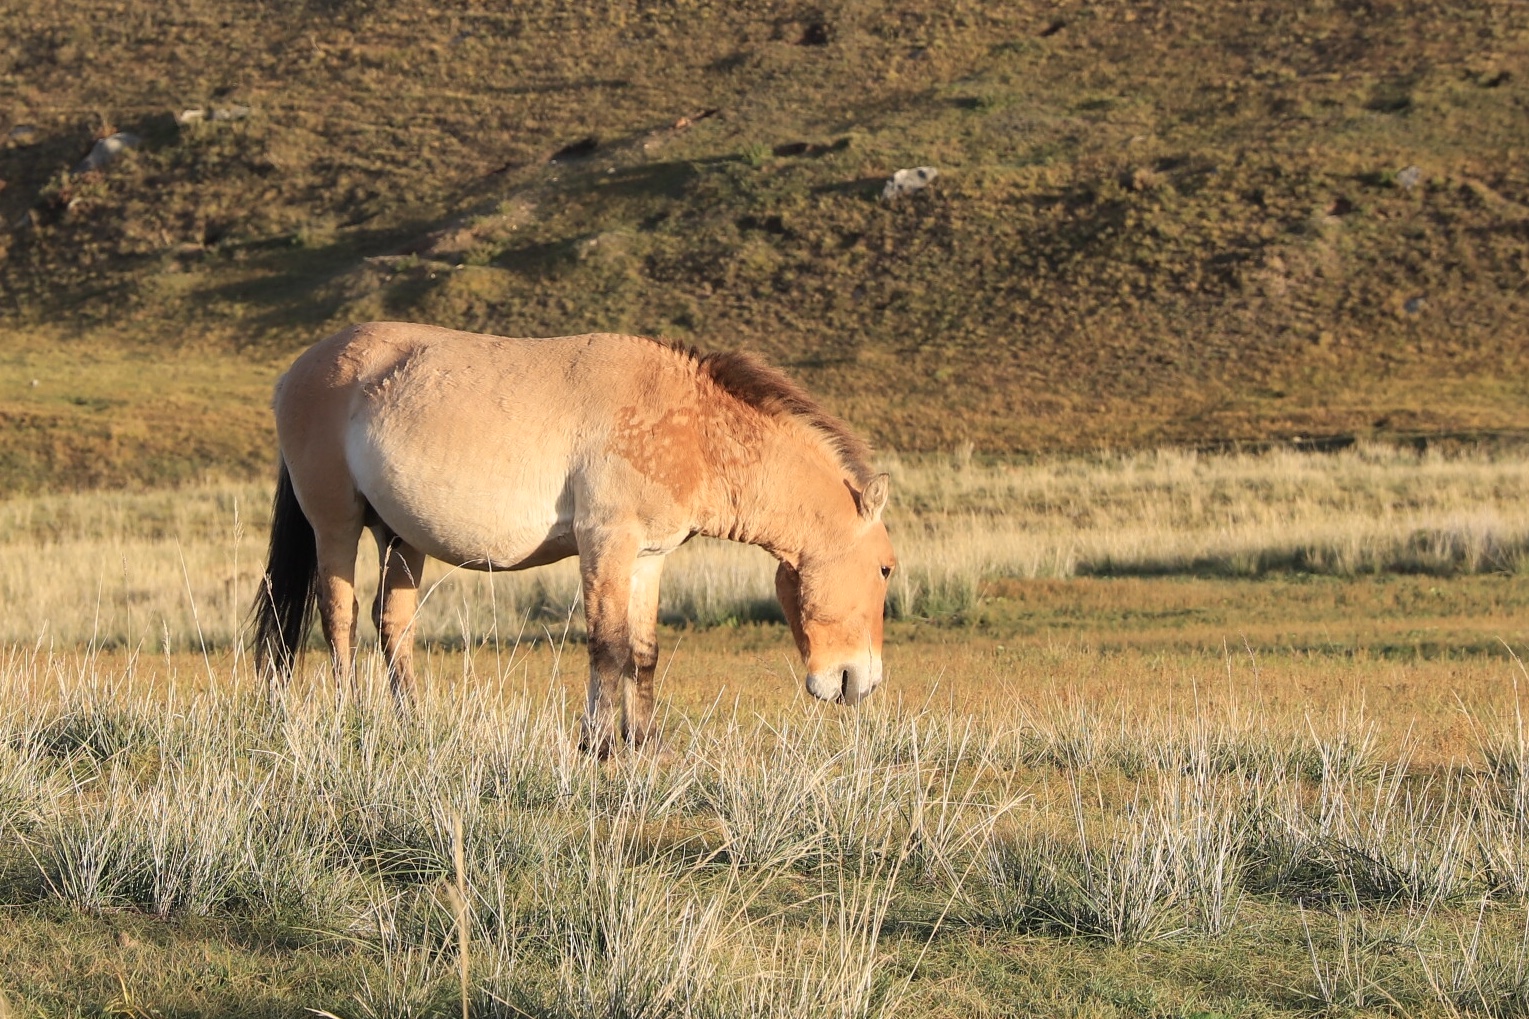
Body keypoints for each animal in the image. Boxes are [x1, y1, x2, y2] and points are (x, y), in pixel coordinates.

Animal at [250, 321, 892, 749]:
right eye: (886, 568)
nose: (860, 683)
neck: (690, 428)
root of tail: (295, 371)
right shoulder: (605, 544)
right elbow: (606, 645)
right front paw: (599, 744)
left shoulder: (647, 558)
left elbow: (642, 651)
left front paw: (644, 742)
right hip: (335, 523)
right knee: (340, 619)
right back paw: (350, 719)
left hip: (399, 538)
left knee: (393, 623)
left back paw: (410, 725)